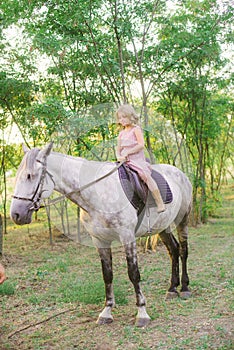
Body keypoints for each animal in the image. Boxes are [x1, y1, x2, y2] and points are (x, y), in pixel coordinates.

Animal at [10, 143, 192, 328]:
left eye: (30, 176)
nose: (16, 214)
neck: (97, 193)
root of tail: (180, 173)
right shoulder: (100, 240)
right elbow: (107, 274)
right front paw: (107, 311)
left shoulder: (127, 237)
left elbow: (134, 273)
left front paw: (142, 313)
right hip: (163, 226)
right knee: (173, 250)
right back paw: (172, 289)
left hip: (182, 220)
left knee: (183, 250)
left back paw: (184, 288)